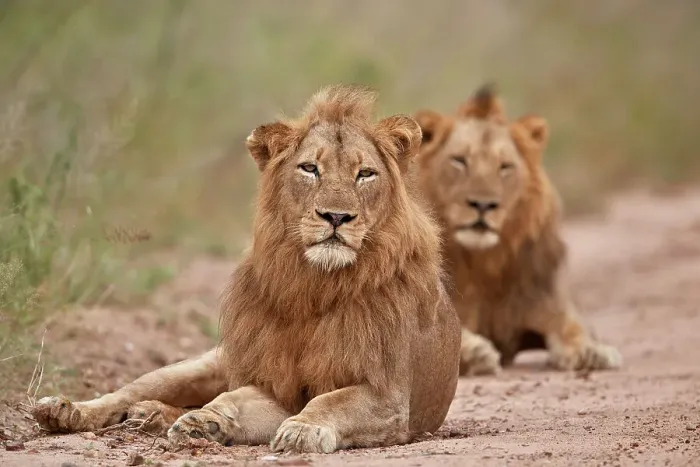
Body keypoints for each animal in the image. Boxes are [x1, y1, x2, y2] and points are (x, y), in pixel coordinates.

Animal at [31, 85, 461, 454]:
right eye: (310, 168)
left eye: (365, 173)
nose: (336, 216)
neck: (315, 284)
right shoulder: (274, 386)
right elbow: (232, 397)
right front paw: (204, 422)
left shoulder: (388, 395)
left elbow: (332, 401)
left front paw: (300, 430)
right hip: (201, 365)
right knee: (129, 391)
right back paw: (67, 410)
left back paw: (150, 416)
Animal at [413, 84, 622, 376]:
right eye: (459, 161)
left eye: (505, 167)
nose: (483, 205)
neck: (485, 265)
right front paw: (474, 354)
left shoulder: (550, 305)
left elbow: (573, 330)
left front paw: (590, 352)